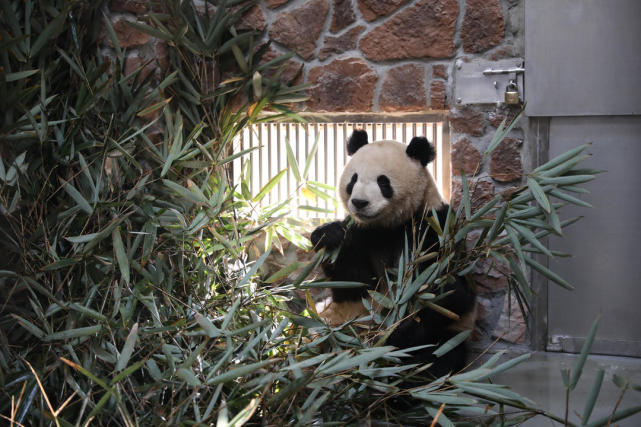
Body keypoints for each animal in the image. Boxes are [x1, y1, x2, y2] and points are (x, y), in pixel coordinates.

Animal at [310, 130, 476, 378]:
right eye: (353, 179)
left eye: (383, 181)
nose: (359, 202)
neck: (388, 226)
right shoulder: (362, 233)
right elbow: (352, 282)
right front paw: (328, 235)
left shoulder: (435, 229)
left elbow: (451, 293)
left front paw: (398, 331)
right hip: (331, 322)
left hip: (450, 336)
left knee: (437, 357)